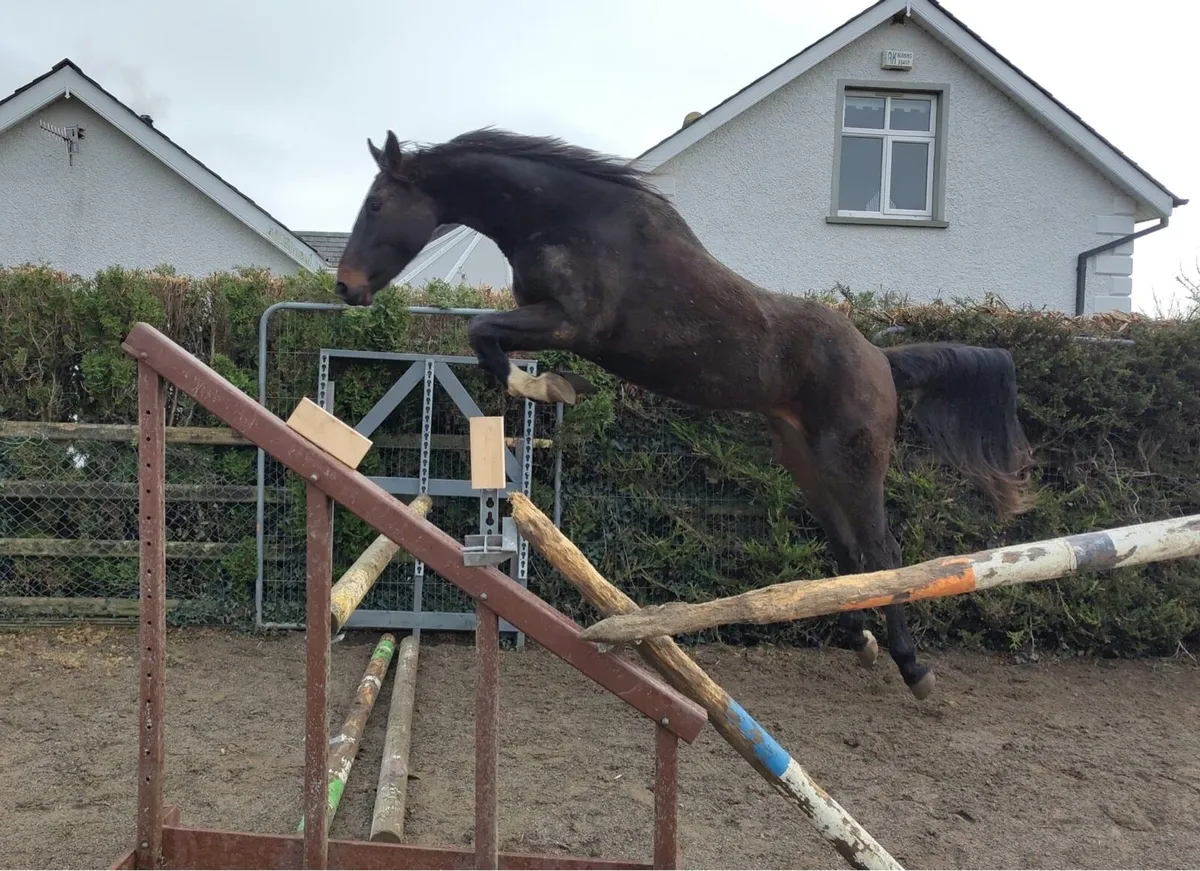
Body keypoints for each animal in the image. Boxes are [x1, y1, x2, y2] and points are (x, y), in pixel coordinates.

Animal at [334, 127, 1034, 700]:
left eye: (377, 204)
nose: (345, 287)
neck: (566, 219)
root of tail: (880, 359)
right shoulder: (546, 322)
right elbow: (487, 341)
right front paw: (555, 387)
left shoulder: (571, 323)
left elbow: (482, 333)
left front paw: (552, 389)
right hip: (805, 461)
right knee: (847, 547)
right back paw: (861, 644)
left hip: (853, 460)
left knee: (882, 549)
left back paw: (914, 669)